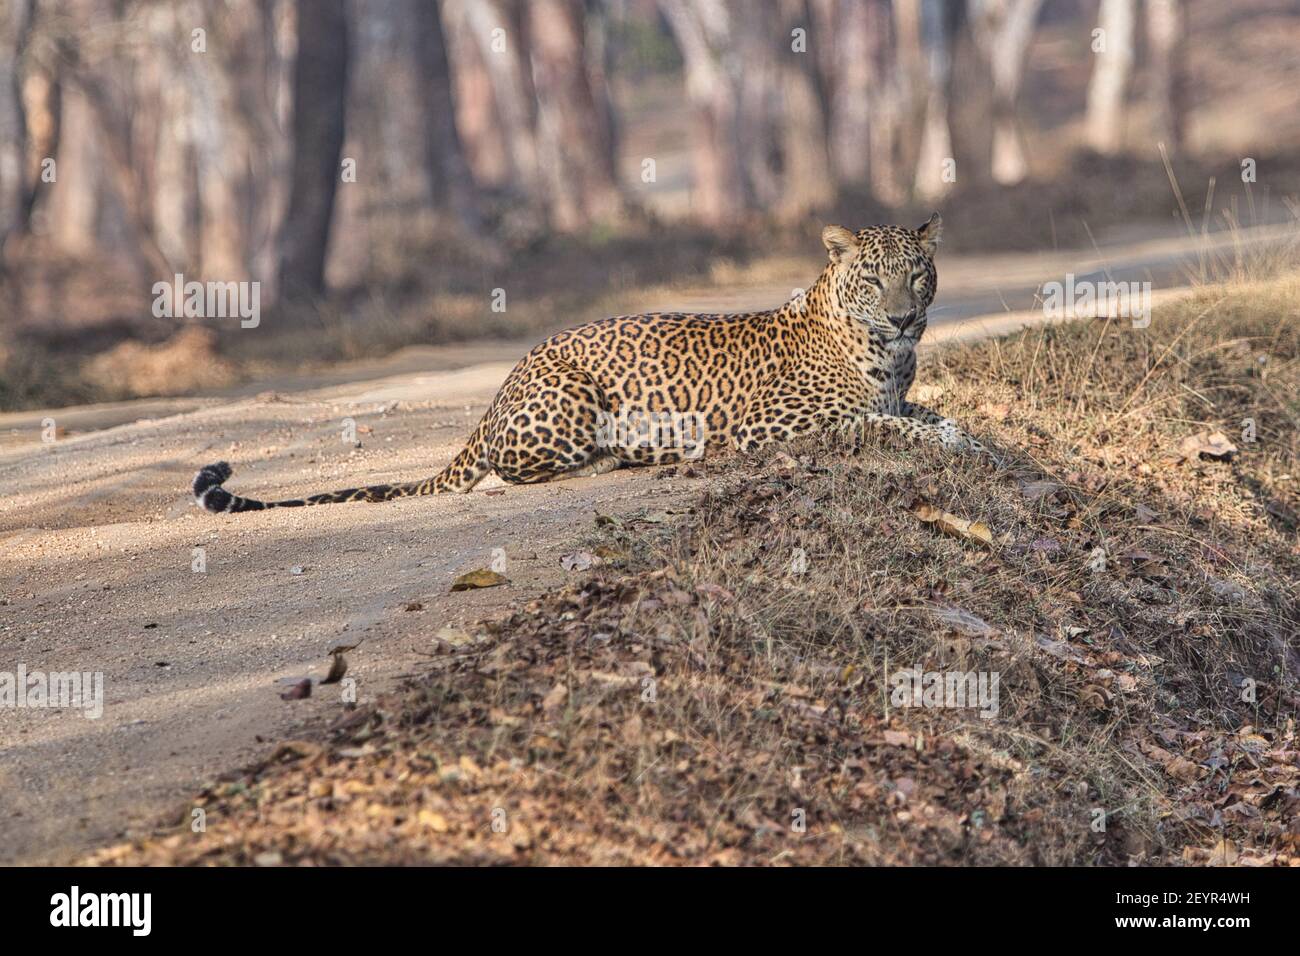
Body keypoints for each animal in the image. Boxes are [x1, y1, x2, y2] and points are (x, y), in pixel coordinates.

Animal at [193, 214, 989, 514]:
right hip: (571, 399)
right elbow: (879, 425)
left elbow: (930, 417)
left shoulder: (899, 393)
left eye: (919, 275)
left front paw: (969, 438)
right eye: (873, 279)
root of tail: (499, 388)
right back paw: (616, 460)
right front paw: (943, 443)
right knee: (515, 472)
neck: (887, 352)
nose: (904, 316)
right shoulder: (772, 426)